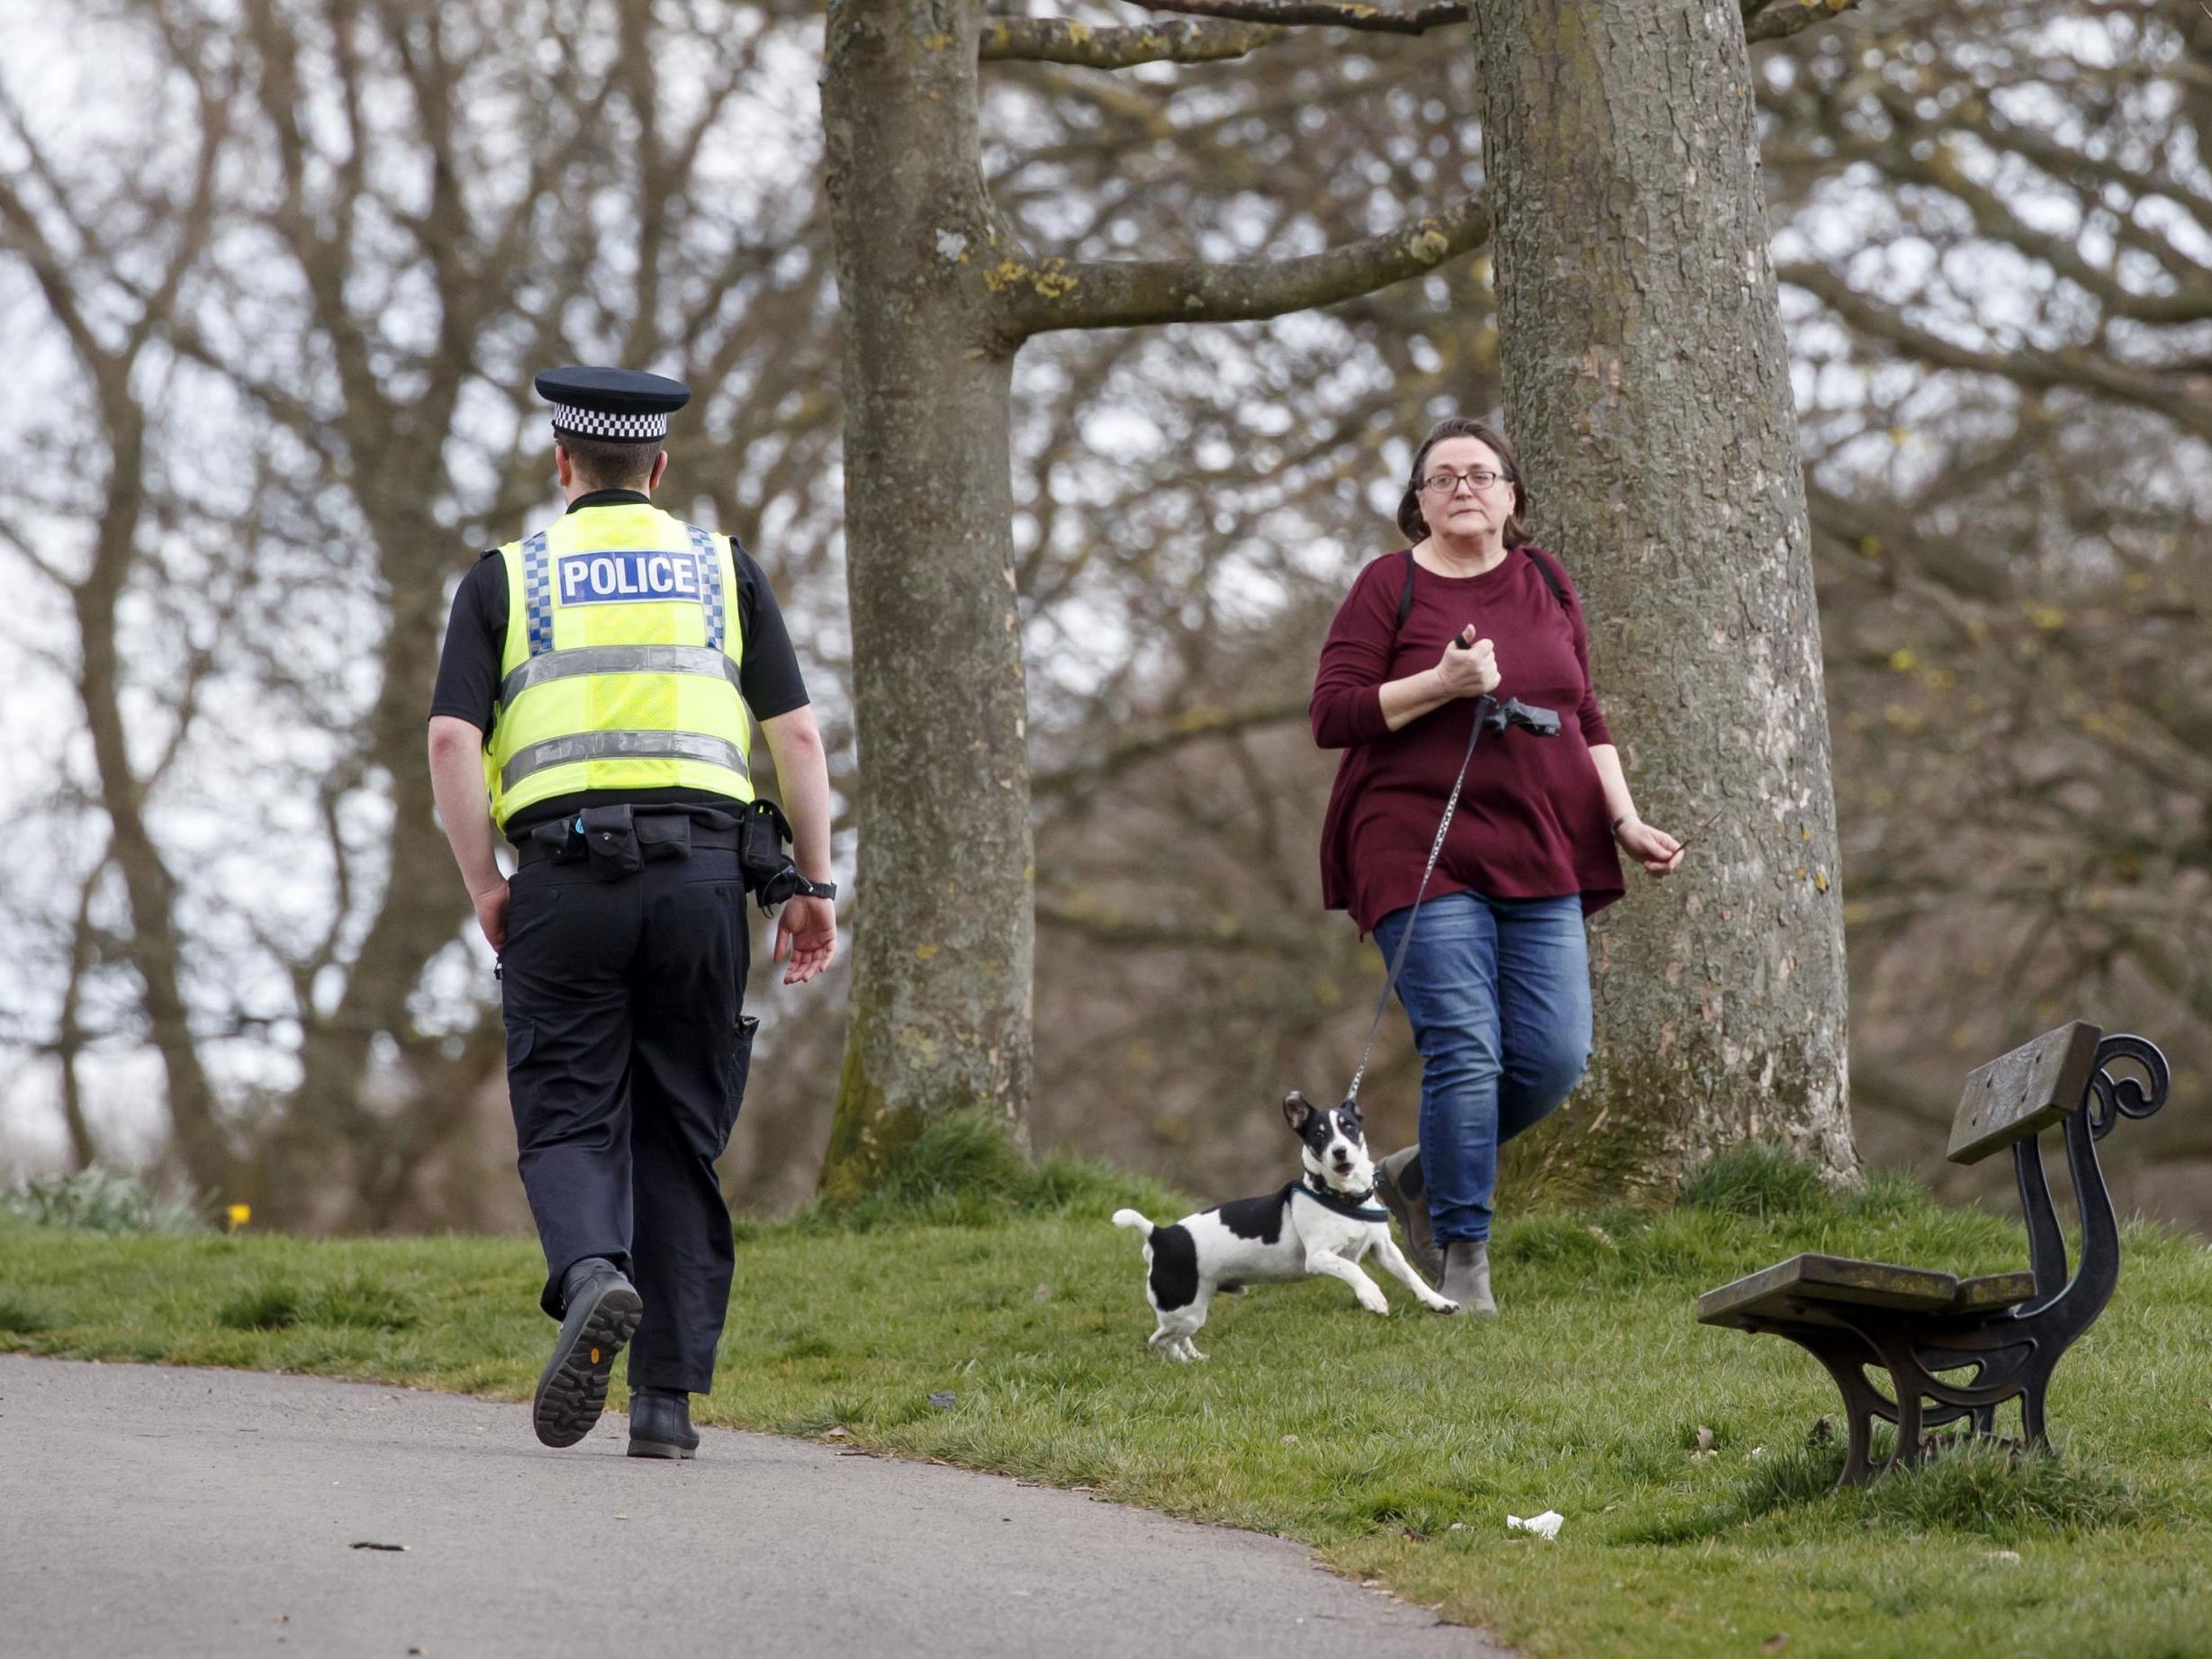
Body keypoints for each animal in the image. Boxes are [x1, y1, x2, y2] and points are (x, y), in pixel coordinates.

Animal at [1106, 1092, 1450, 1362]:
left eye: (1349, 1127)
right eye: (1319, 1135)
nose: (1339, 1152)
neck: (1341, 1195)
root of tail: (1159, 1234)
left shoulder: (1384, 1250)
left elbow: (1410, 1275)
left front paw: (1438, 1301)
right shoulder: (1320, 1257)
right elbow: (1354, 1269)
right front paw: (1372, 1297)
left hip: (1193, 1305)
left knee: (1175, 1337)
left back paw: (1194, 1357)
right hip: (1184, 1310)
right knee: (1160, 1340)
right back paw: (1180, 1361)